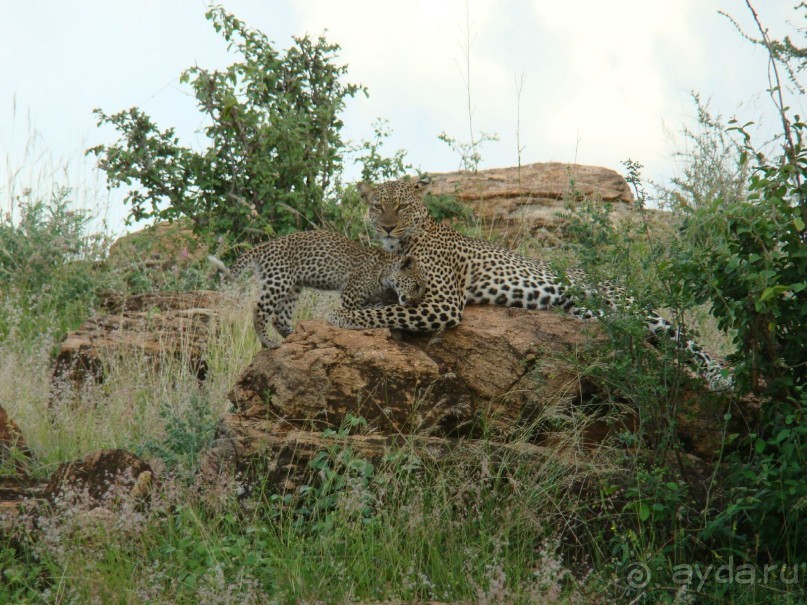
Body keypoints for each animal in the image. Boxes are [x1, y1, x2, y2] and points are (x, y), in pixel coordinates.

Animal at [328, 177, 732, 390]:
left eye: (401, 207)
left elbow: (385, 311)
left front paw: (339, 317)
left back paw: (720, 378)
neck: (402, 245)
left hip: (632, 306)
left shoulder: (442, 304)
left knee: (686, 340)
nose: (387, 226)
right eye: (378, 206)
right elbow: (383, 305)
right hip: (590, 310)